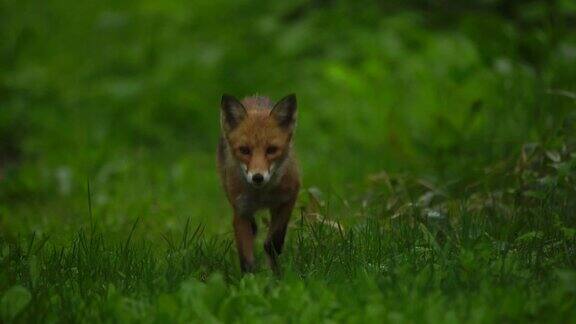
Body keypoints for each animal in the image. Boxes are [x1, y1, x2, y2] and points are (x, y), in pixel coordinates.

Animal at [217, 93, 302, 274]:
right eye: (244, 150)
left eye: (271, 150)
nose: (257, 177)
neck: (262, 195)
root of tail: (255, 97)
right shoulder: (240, 211)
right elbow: (247, 259)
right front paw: (250, 279)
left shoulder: (288, 198)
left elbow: (274, 242)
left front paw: (276, 275)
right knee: (252, 227)